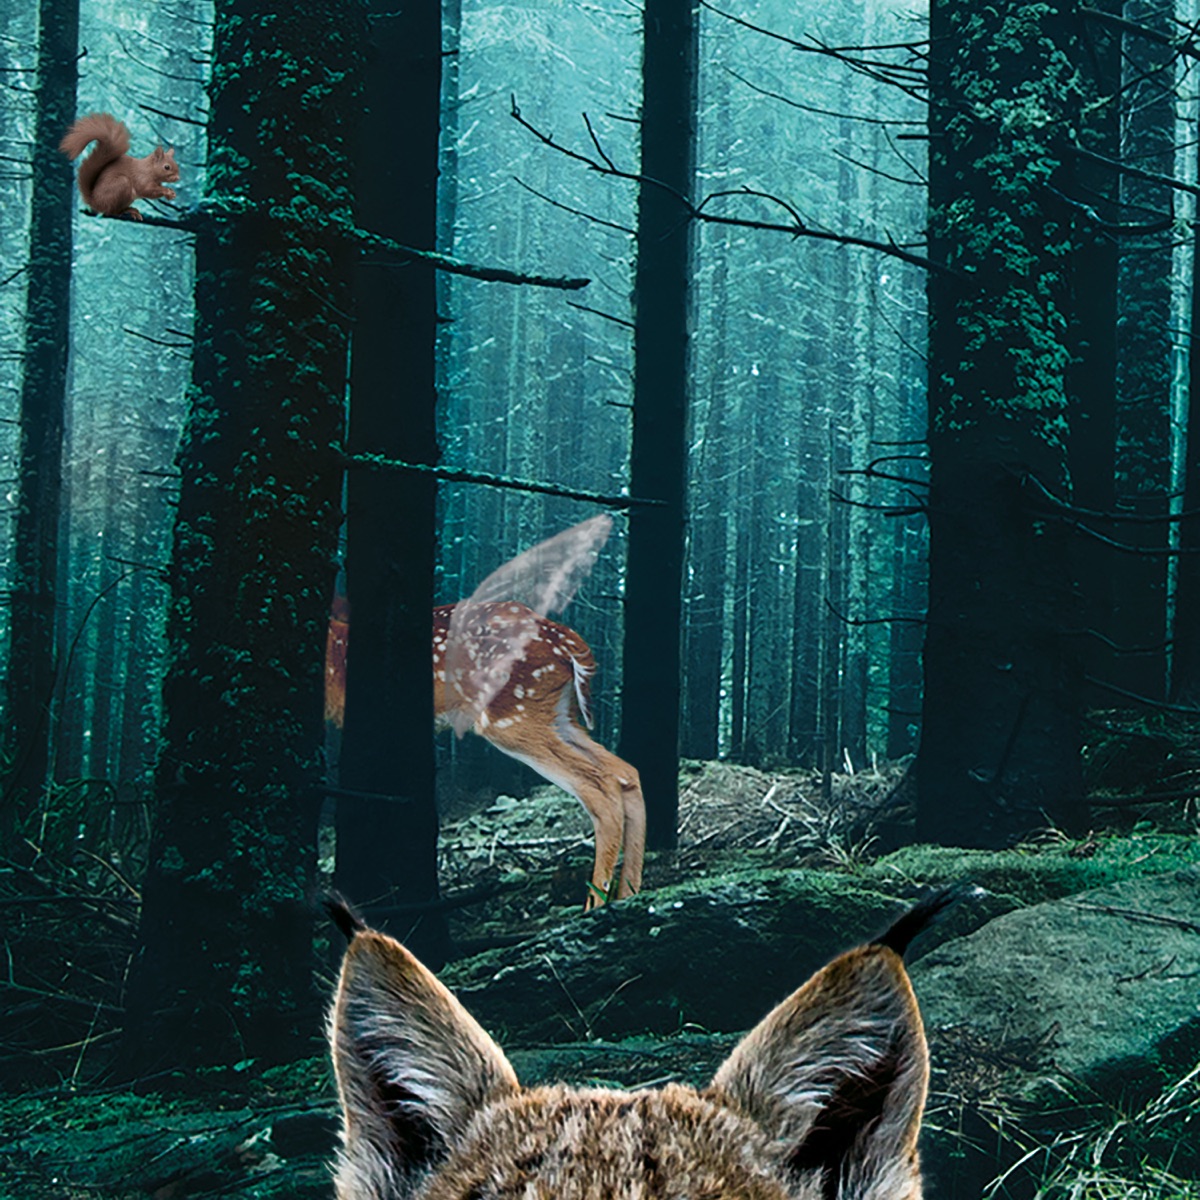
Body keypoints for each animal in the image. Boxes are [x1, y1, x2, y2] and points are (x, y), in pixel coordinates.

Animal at [325, 518, 645, 910]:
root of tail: (570, 643)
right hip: (558, 714)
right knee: (626, 772)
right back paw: (629, 893)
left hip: (512, 715)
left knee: (602, 786)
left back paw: (595, 903)